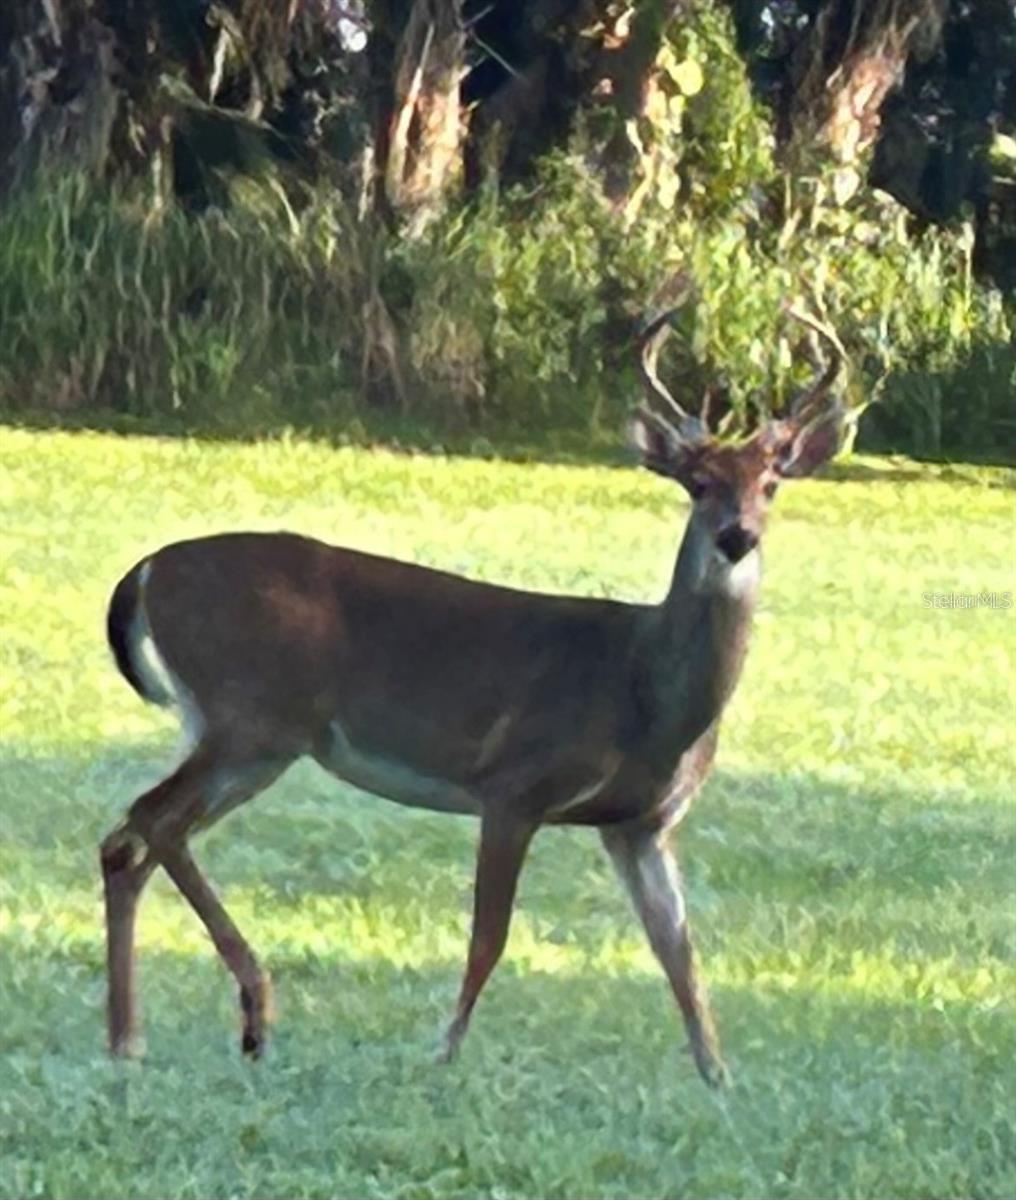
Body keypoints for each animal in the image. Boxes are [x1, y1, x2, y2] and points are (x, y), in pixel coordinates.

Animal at [103, 300, 844, 1089]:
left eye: (771, 483)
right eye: (697, 482)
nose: (738, 536)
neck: (644, 691)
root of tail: (145, 570)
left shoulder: (639, 824)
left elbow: (681, 955)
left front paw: (718, 1077)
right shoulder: (515, 783)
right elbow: (491, 934)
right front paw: (443, 1050)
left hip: (245, 737)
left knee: (131, 843)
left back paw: (131, 1036)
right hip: (248, 716)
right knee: (150, 821)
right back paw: (249, 1012)